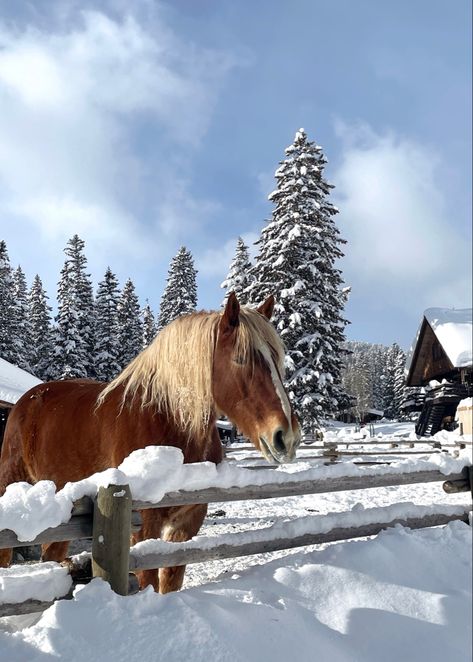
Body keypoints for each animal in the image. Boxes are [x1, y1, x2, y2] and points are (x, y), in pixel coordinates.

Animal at [0, 294, 300, 592]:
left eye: (277, 360)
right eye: (240, 358)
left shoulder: (186, 524)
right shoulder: (144, 527)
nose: (286, 436)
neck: (166, 419)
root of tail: (26, 402)